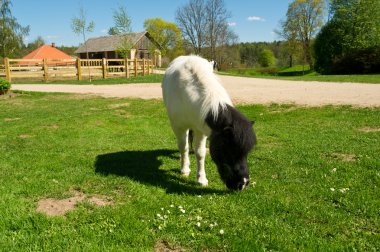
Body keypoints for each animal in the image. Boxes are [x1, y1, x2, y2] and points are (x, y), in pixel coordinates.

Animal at [160, 54, 255, 189]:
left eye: (246, 153)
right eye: (229, 149)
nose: (243, 184)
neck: (187, 92)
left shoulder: (201, 129)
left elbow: (200, 153)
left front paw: (201, 179)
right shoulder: (178, 127)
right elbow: (183, 147)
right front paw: (184, 169)